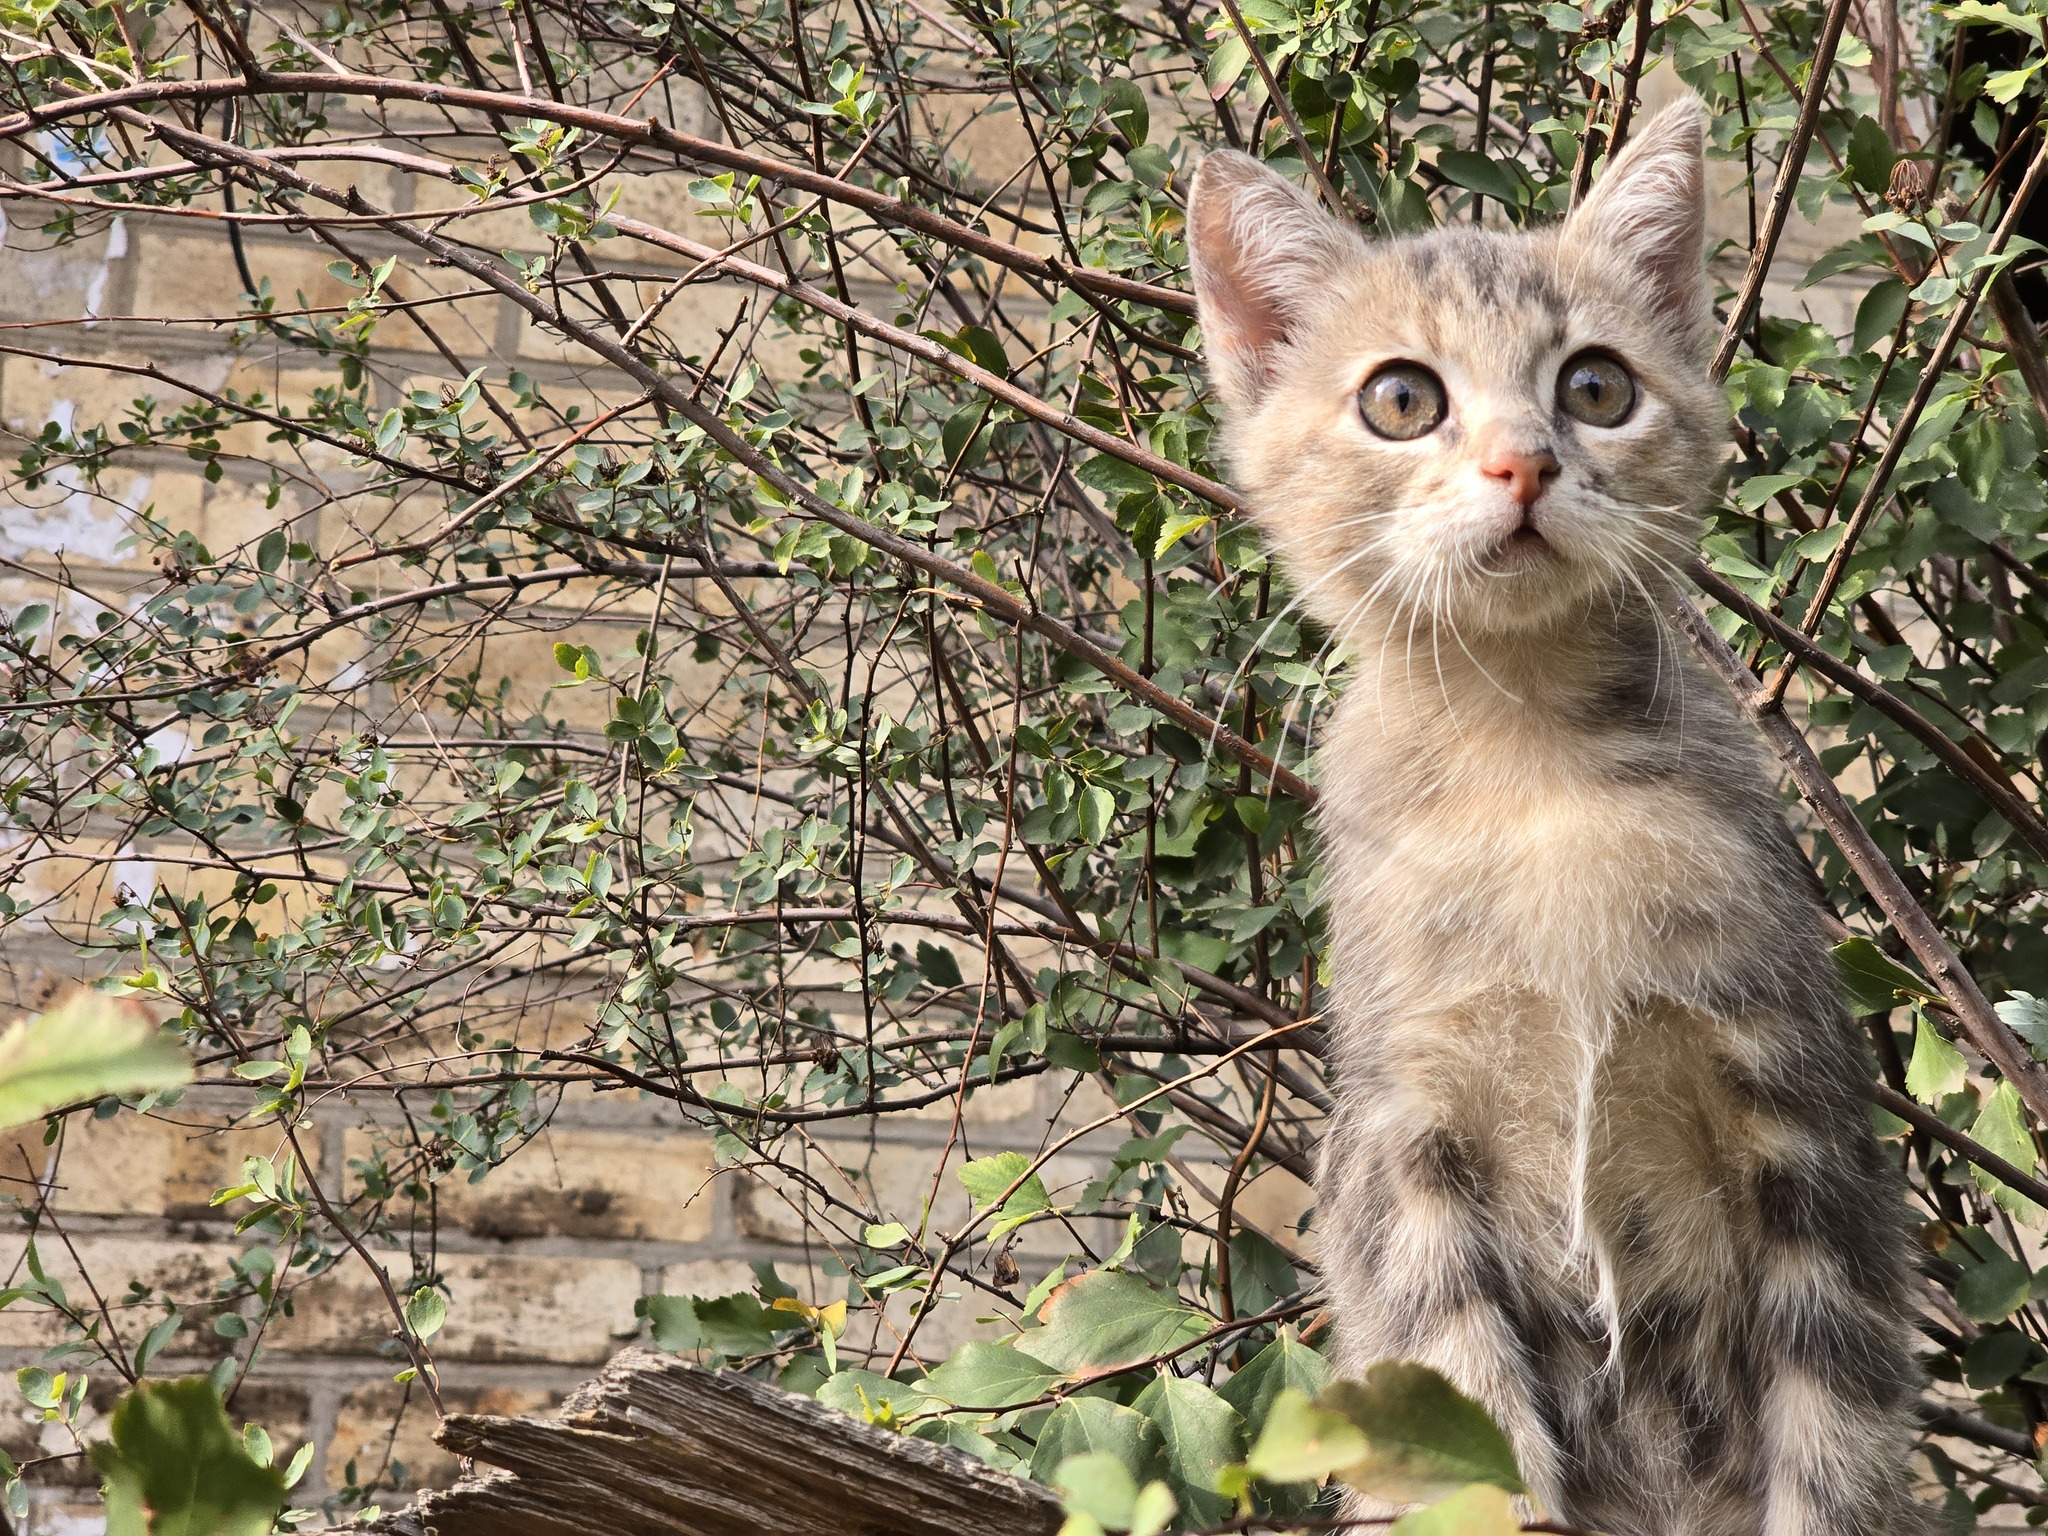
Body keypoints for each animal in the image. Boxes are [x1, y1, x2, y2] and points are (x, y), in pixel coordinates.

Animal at [1187, 99, 1933, 1536]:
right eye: (1402, 399)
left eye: (1594, 388)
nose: (1522, 461)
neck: (1531, 766)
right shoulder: (1408, 1143)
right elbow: (1461, 1427)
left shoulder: (1802, 1127)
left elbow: (1834, 1443)